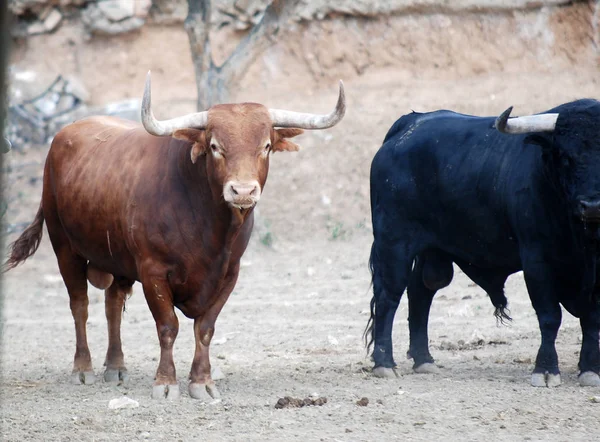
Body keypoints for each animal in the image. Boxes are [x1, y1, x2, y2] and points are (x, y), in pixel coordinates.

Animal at [4, 72, 344, 400]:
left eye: (266, 146)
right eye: (215, 146)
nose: (243, 191)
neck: (209, 228)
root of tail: (62, 136)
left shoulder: (229, 274)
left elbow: (205, 328)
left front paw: (202, 382)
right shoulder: (153, 272)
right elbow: (168, 326)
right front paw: (165, 382)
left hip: (118, 259)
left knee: (112, 305)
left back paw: (115, 365)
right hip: (65, 248)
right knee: (80, 305)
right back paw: (82, 367)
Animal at [366, 99, 600, 386]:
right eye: (565, 157)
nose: (591, 205)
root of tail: (410, 124)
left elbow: (591, 318)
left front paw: (590, 369)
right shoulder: (536, 261)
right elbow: (549, 316)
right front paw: (545, 369)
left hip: (432, 251)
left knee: (421, 291)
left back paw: (423, 360)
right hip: (394, 244)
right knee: (388, 296)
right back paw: (384, 363)